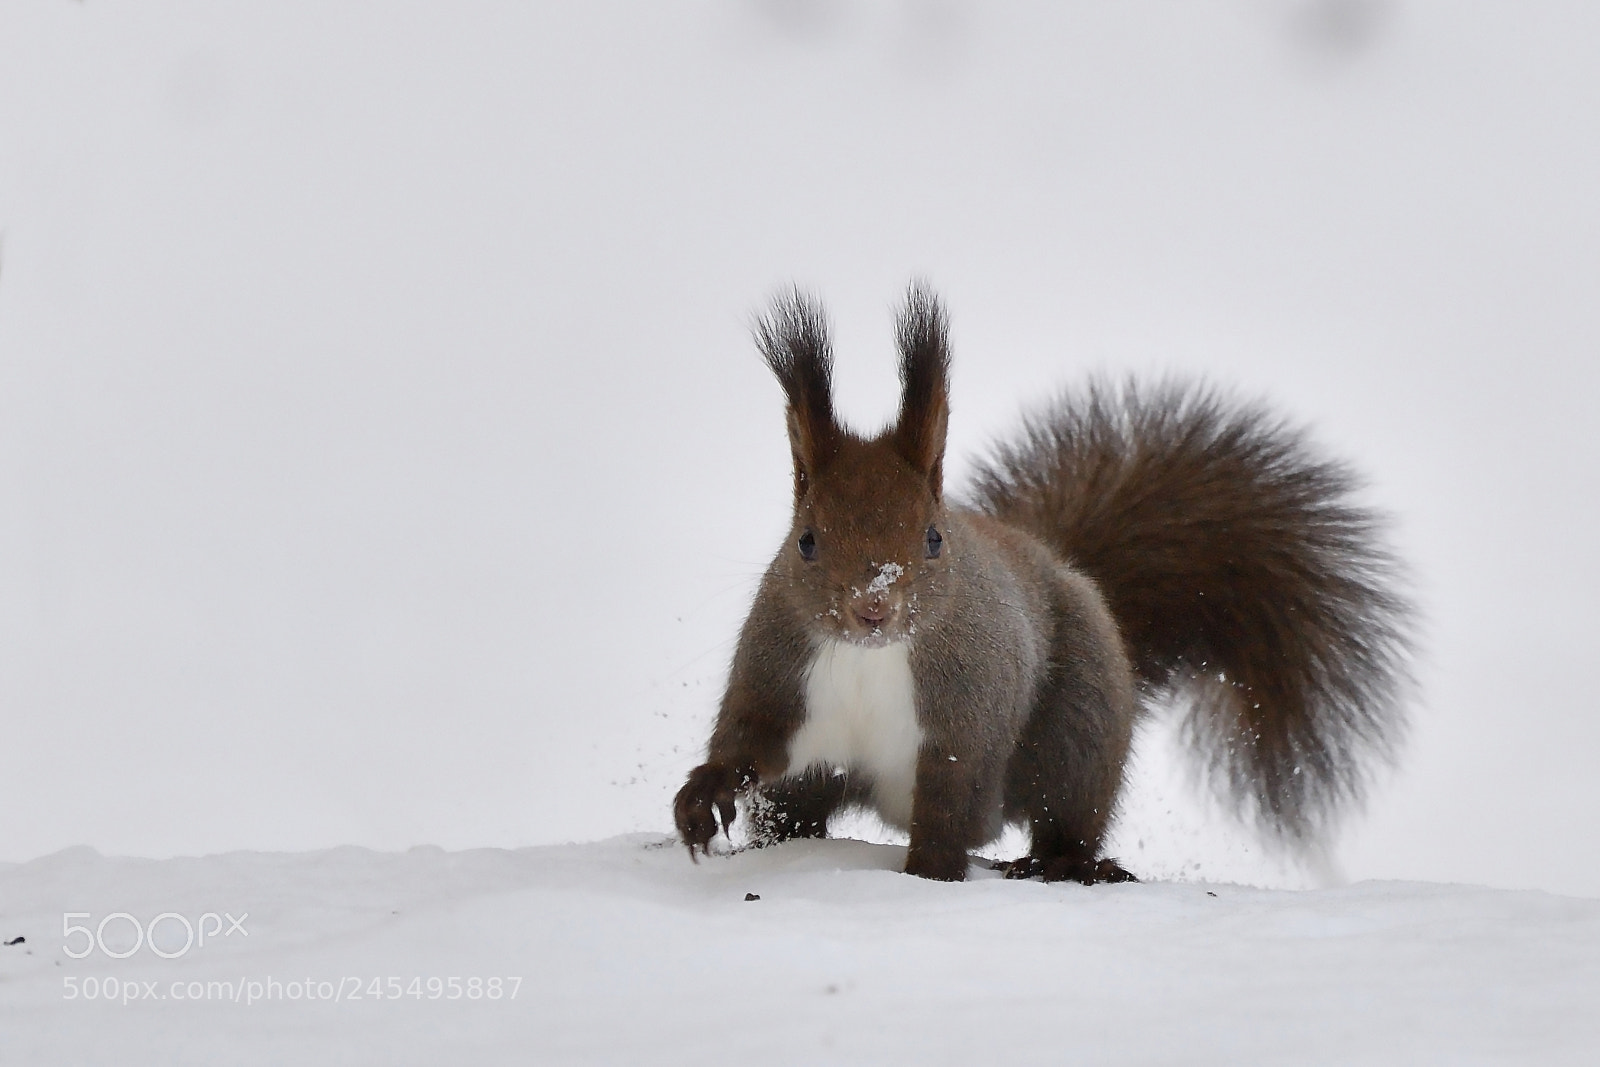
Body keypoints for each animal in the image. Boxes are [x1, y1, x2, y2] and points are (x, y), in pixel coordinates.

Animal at [673, 283, 1412, 884]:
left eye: (933, 538)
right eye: (806, 541)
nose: (873, 606)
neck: (869, 660)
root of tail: (1062, 565)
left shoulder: (966, 717)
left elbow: (950, 805)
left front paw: (928, 877)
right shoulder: (781, 676)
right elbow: (747, 740)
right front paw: (699, 799)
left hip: (1078, 725)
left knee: (1068, 810)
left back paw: (1067, 865)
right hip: (815, 781)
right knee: (798, 812)